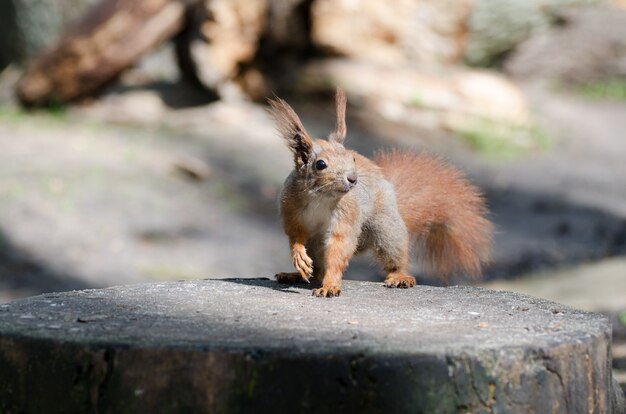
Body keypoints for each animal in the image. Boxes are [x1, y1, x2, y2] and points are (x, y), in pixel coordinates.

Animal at [266, 89, 490, 298]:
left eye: (352, 158)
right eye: (321, 164)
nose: (353, 179)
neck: (321, 196)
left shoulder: (347, 213)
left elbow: (340, 245)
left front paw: (330, 286)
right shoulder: (291, 206)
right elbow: (295, 234)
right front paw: (299, 257)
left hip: (385, 228)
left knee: (392, 257)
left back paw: (399, 276)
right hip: (317, 242)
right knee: (317, 269)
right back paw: (295, 274)